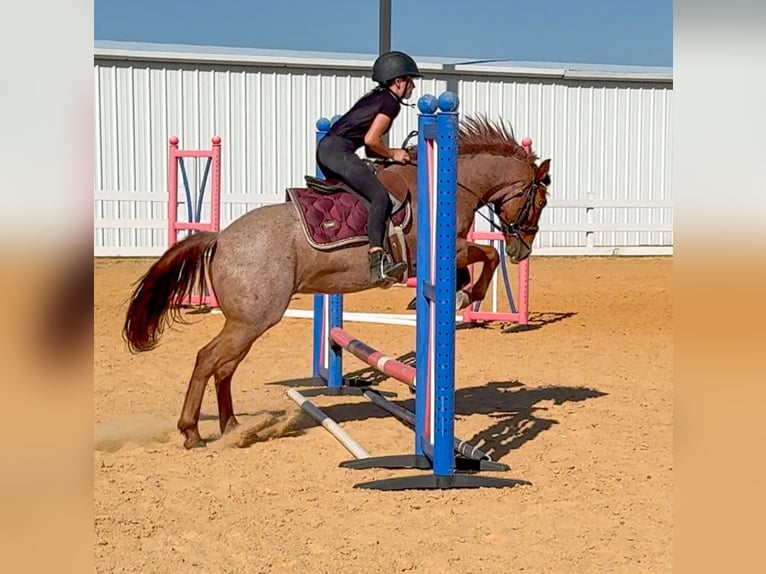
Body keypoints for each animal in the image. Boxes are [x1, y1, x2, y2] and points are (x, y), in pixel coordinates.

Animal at [122, 116, 551, 449]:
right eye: (541, 201)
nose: (522, 251)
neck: (447, 183)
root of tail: (221, 239)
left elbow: (477, 263)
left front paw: (447, 298)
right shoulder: (446, 249)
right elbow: (487, 257)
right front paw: (466, 296)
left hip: (248, 322)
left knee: (224, 366)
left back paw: (232, 427)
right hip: (253, 319)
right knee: (208, 359)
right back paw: (193, 432)